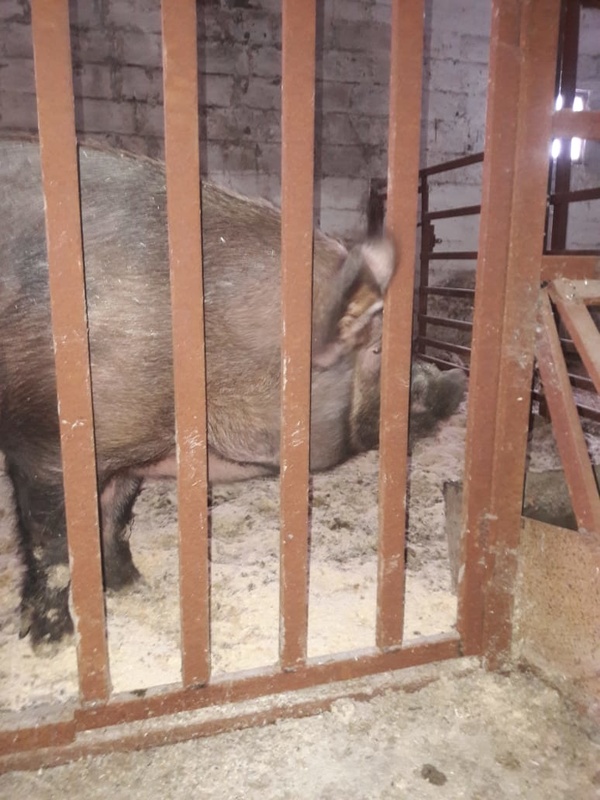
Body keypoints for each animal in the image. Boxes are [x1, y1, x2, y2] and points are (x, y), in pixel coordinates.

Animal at [0, 138, 466, 648]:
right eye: (378, 349)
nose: (456, 380)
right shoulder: (44, 441)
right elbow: (53, 547)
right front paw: (53, 642)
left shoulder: (129, 448)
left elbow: (116, 517)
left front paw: (131, 586)